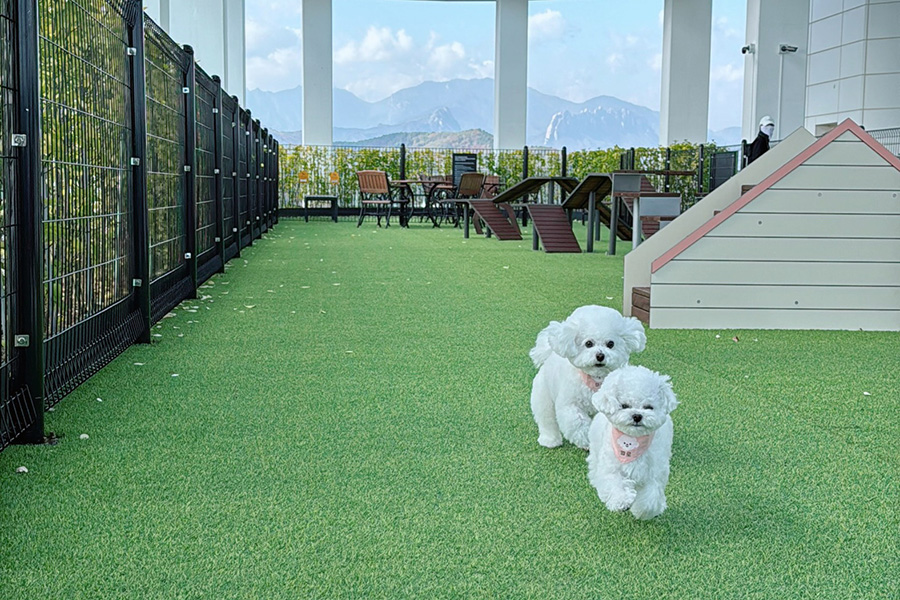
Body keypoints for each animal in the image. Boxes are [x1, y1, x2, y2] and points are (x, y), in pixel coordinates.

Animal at [529, 305, 646, 450]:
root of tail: (549, 354)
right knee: (547, 420)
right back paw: (550, 440)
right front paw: (587, 441)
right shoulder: (569, 405)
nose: (600, 356)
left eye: (610, 344)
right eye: (589, 343)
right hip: (543, 397)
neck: (595, 379)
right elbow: (578, 423)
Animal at [586, 365, 678, 520]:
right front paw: (621, 500)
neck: (632, 439)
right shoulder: (612, 467)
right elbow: (614, 483)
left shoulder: (655, 473)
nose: (637, 416)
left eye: (648, 407)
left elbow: (651, 497)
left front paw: (641, 510)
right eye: (624, 405)